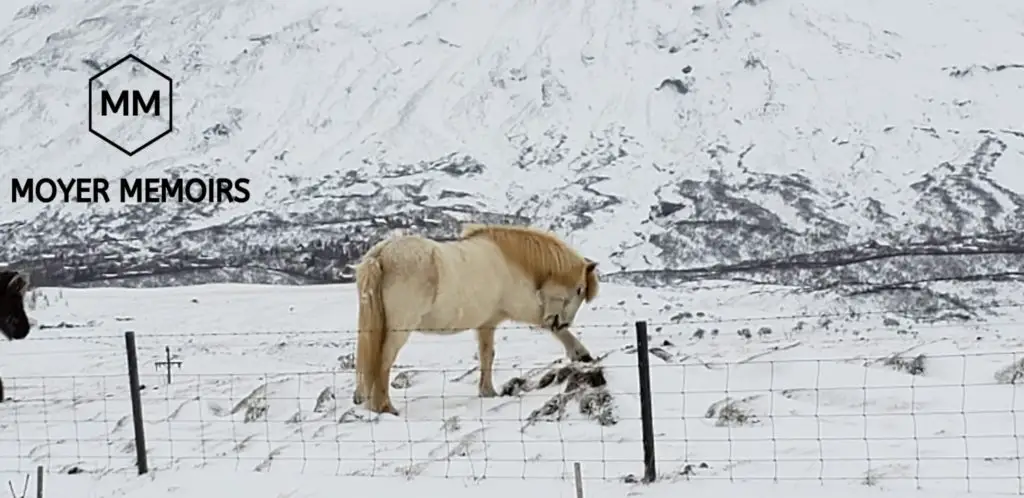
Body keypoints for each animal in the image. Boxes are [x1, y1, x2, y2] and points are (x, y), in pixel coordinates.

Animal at [350, 223, 598, 413]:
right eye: (579, 290)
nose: (562, 321)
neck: (510, 261)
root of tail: (382, 254)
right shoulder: (522, 309)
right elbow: (547, 329)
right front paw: (581, 353)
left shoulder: (487, 323)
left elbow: (487, 355)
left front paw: (487, 391)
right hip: (400, 328)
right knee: (383, 362)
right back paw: (385, 407)